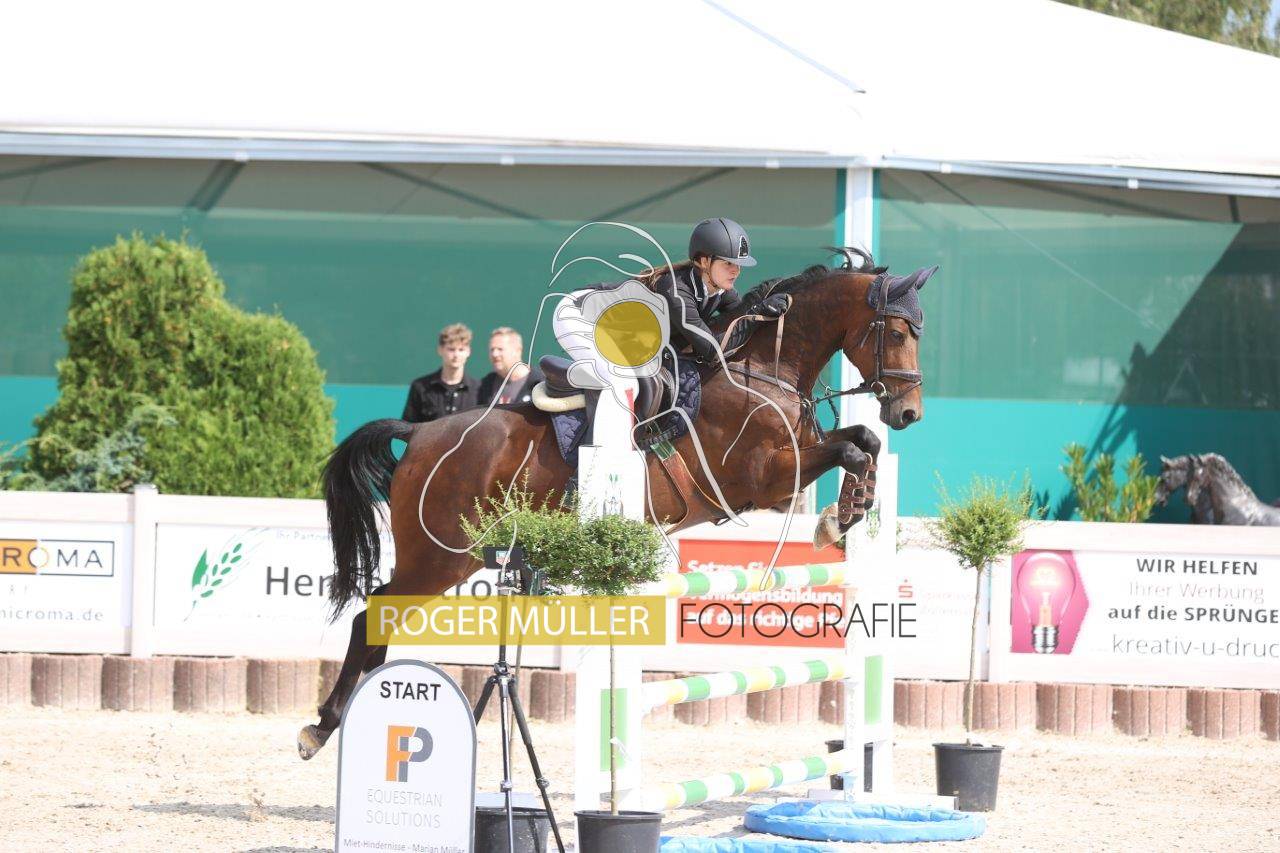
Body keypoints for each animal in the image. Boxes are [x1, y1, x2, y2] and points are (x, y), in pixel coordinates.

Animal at [297, 254, 933, 759]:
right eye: (899, 330)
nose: (908, 414)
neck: (761, 370)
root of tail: (420, 434)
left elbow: (863, 442)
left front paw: (848, 512)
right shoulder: (760, 479)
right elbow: (849, 447)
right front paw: (838, 517)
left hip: (461, 556)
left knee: (380, 615)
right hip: (440, 556)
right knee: (371, 613)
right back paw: (322, 726)